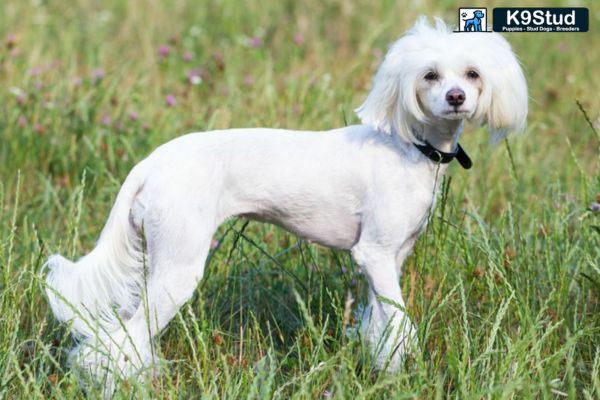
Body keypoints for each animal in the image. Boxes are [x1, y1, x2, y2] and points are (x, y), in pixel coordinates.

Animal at [45, 18, 524, 390]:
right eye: (429, 76)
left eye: (472, 73)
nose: (457, 97)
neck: (410, 146)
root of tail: (151, 163)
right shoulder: (374, 254)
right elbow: (400, 324)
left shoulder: (389, 259)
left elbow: (382, 325)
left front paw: (383, 370)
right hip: (178, 268)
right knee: (119, 340)